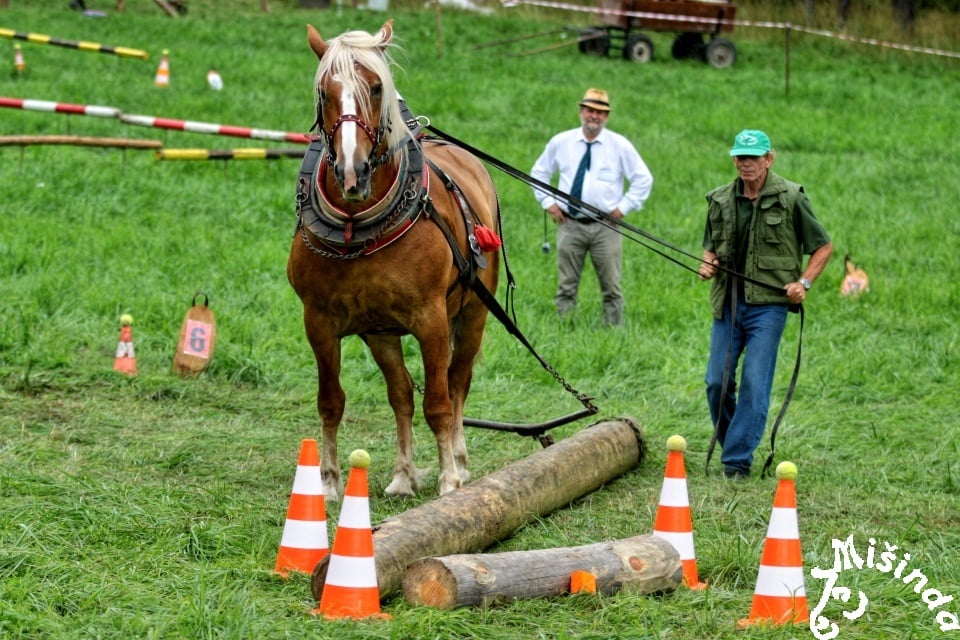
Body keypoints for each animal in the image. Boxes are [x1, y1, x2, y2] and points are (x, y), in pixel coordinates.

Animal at [286, 20, 502, 500]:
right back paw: (403, 475)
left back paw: (459, 460)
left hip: (474, 313)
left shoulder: (432, 319)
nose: (353, 173)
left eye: (376, 86)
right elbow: (331, 402)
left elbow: (438, 403)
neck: (356, 228)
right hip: (380, 332)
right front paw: (327, 483)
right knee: (401, 393)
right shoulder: (318, 321)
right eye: (324, 92)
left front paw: (448, 482)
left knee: (457, 383)